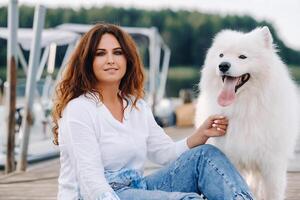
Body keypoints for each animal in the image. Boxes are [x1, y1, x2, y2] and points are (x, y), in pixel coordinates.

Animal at [196, 27, 298, 200]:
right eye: (221, 55)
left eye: (242, 56)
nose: (223, 65)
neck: (245, 107)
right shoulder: (232, 159)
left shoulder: (272, 164)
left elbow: (272, 193)